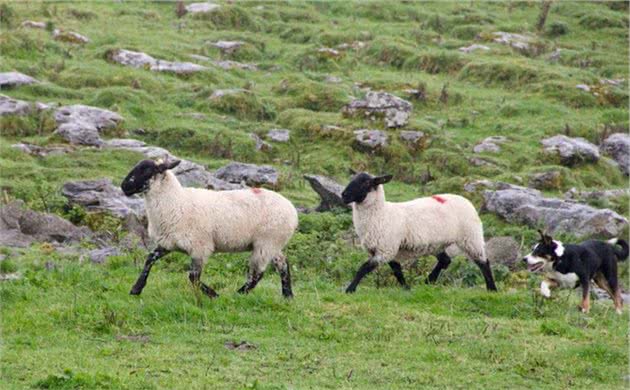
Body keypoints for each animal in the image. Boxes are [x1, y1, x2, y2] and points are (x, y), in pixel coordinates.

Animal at [123, 158, 302, 298]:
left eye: (147, 170)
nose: (124, 187)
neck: (176, 202)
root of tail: (292, 210)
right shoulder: (169, 243)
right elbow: (149, 259)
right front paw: (136, 289)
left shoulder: (200, 247)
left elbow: (193, 277)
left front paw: (213, 294)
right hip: (273, 243)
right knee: (282, 263)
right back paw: (287, 295)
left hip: (266, 242)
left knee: (257, 273)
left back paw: (238, 294)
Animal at [340, 174, 498, 292]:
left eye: (366, 183)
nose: (344, 195)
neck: (381, 214)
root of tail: (465, 200)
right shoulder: (387, 250)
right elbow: (397, 271)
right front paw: (406, 288)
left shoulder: (386, 249)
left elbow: (363, 268)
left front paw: (350, 289)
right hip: (437, 244)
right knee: (445, 260)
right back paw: (429, 280)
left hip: (471, 237)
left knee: (483, 262)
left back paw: (492, 289)